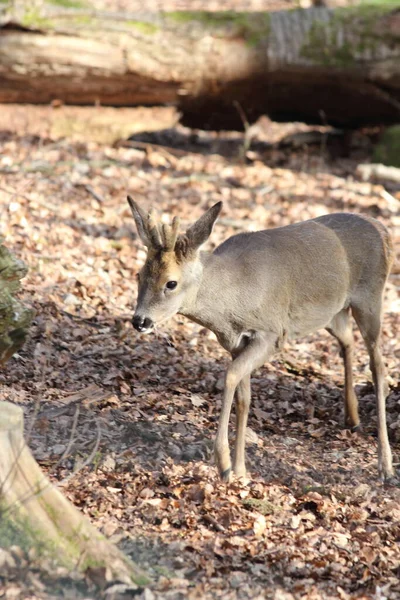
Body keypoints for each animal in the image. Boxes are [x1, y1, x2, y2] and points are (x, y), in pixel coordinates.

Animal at [126, 199, 396, 486]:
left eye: (171, 283)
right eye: (139, 274)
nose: (140, 320)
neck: (231, 302)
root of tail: (384, 230)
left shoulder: (272, 332)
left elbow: (231, 376)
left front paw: (224, 464)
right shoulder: (235, 343)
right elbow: (244, 397)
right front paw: (240, 468)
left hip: (370, 298)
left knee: (379, 367)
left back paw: (386, 466)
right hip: (335, 313)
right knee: (348, 341)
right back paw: (352, 417)